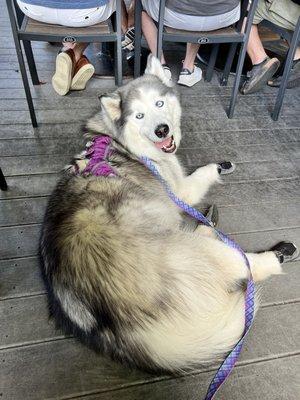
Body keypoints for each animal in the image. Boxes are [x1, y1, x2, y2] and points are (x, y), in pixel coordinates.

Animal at [39, 56, 298, 372]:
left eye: (159, 104)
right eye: (139, 116)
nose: (162, 130)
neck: (123, 141)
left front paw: (222, 167)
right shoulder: (181, 190)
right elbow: (202, 172)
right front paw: (219, 167)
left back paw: (208, 223)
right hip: (200, 254)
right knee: (247, 264)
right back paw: (278, 252)